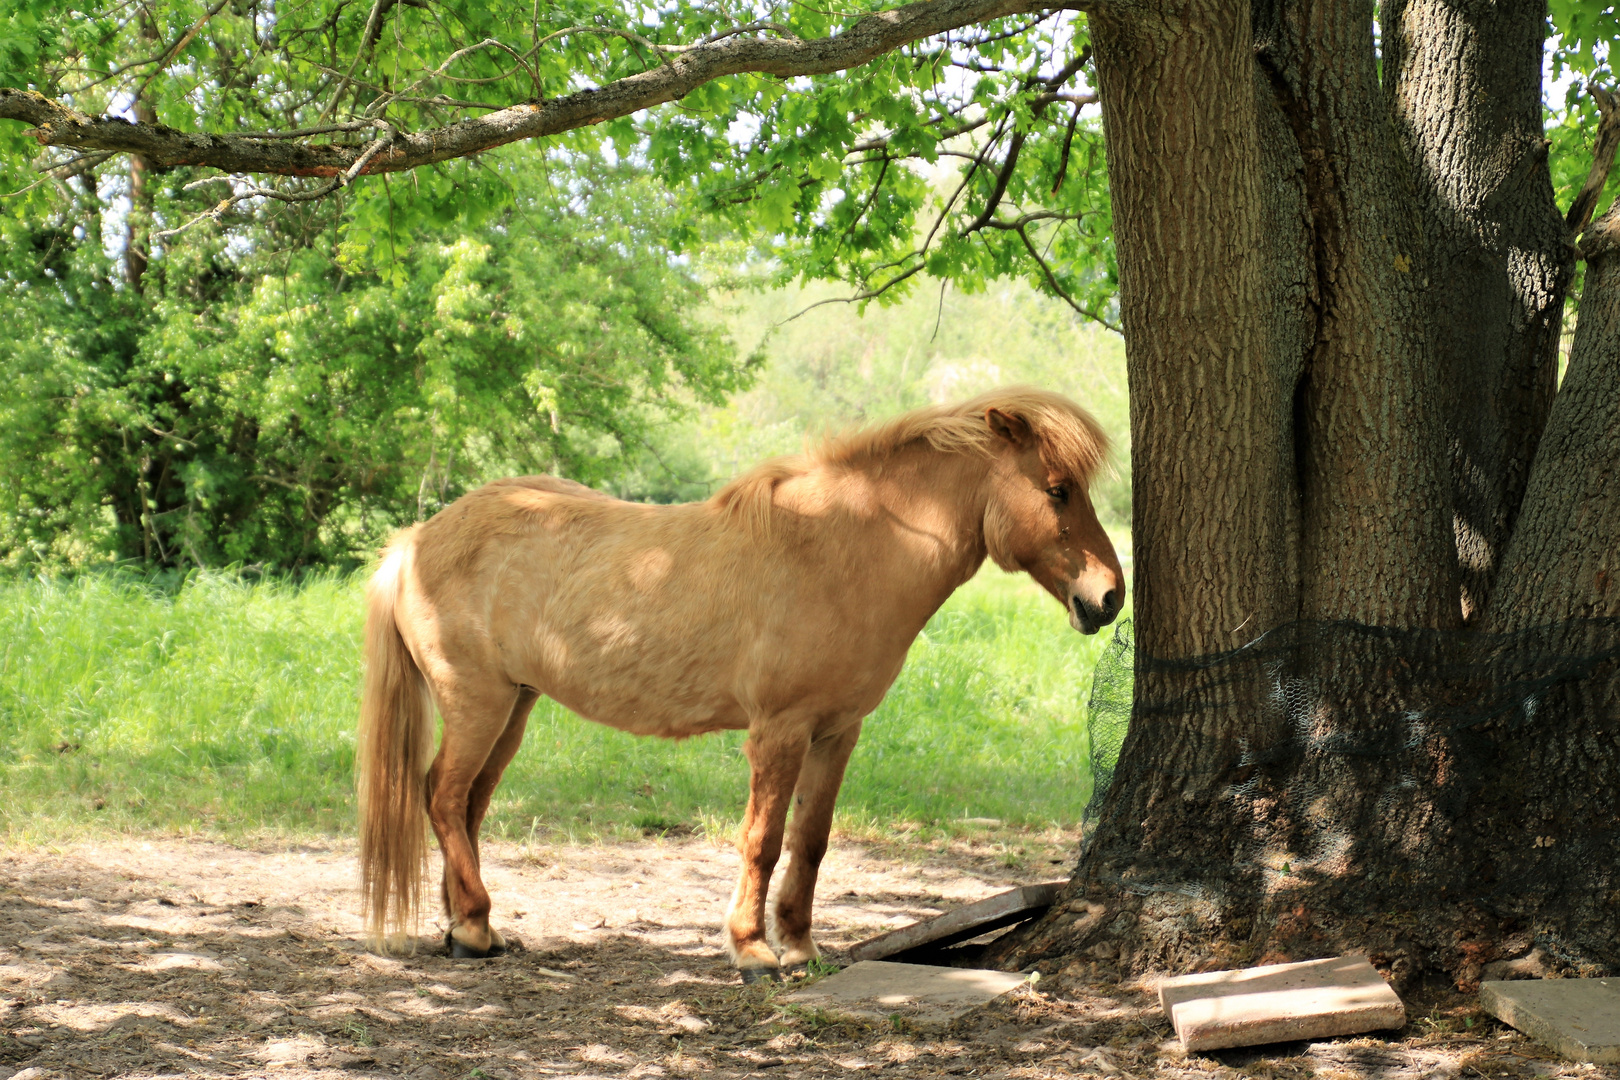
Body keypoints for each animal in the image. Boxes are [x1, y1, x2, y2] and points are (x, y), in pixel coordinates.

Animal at [356, 388, 1121, 977]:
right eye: (1057, 490)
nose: (1109, 597)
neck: (840, 548)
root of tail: (415, 542)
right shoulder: (779, 731)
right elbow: (764, 839)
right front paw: (753, 951)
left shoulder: (837, 732)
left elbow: (811, 841)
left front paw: (802, 948)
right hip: (477, 701)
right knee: (442, 794)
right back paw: (475, 929)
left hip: (513, 706)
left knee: (468, 804)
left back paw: (467, 926)